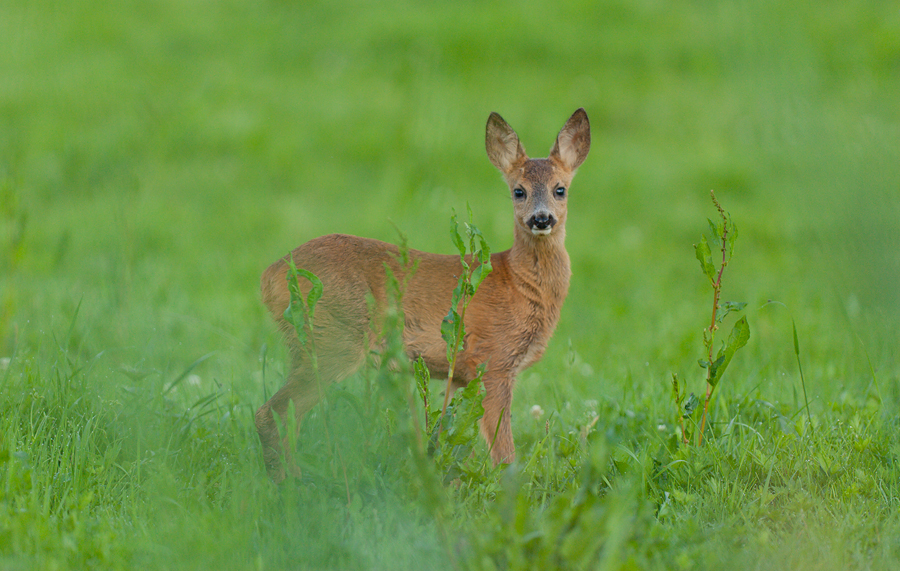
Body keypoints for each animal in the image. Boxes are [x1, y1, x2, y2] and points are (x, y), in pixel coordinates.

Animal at [255, 107, 592, 482]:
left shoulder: (462, 374)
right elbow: (504, 455)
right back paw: (289, 483)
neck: (518, 282)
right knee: (271, 412)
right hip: (332, 340)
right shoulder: (493, 360)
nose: (541, 218)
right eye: (518, 191)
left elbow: (450, 438)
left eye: (560, 189)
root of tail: (272, 274)